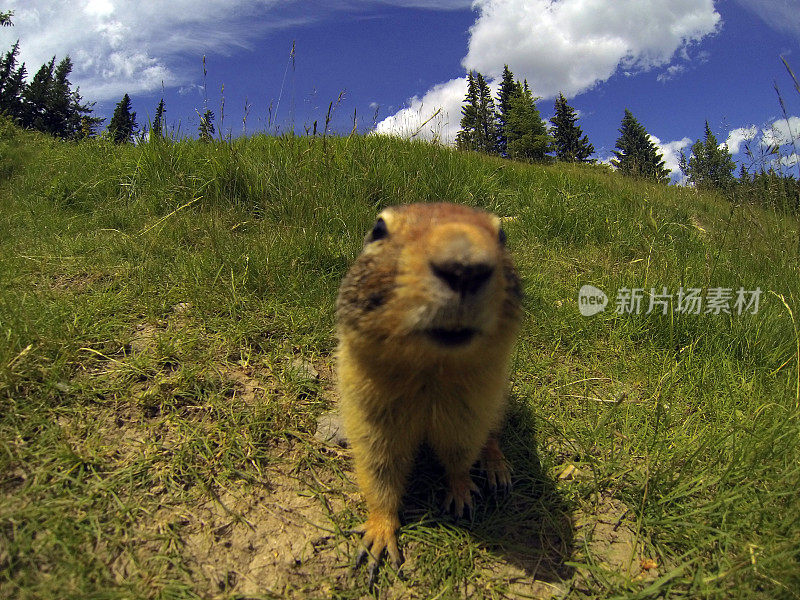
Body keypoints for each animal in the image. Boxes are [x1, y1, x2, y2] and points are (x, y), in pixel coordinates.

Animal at [334, 204, 520, 576]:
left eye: (503, 235)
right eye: (378, 229)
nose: (465, 268)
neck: (430, 371)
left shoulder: (470, 412)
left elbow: (460, 453)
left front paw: (462, 495)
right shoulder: (370, 414)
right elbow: (379, 467)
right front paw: (376, 541)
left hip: (497, 404)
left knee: (492, 435)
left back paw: (497, 470)